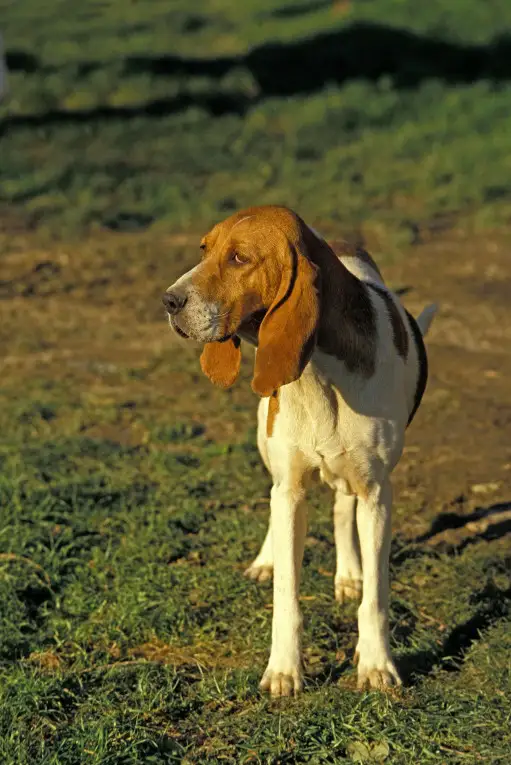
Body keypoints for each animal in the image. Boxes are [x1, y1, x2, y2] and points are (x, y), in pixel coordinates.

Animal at [163, 206, 436, 696]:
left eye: (239, 258)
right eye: (204, 250)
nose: (168, 301)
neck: (320, 375)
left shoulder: (377, 495)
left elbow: (376, 598)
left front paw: (376, 664)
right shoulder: (290, 491)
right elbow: (286, 596)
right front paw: (284, 669)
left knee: (344, 511)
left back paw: (349, 573)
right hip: (270, 450)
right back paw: (266, 560)